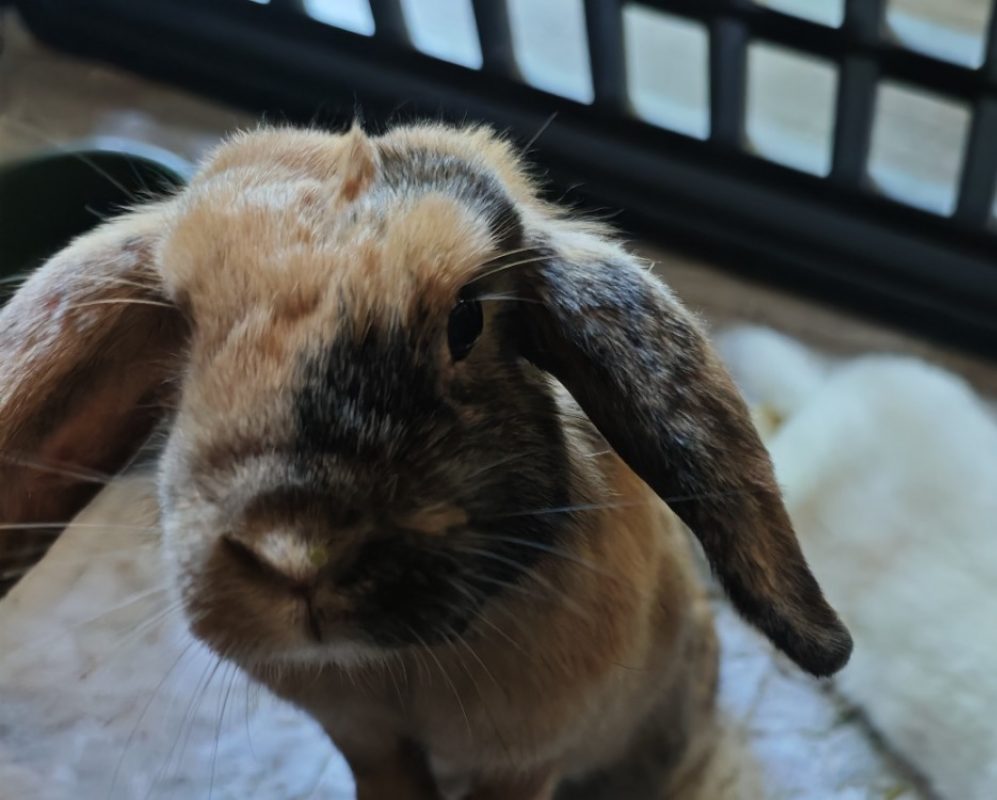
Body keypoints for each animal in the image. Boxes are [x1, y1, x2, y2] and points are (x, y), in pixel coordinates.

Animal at [0, 123, 851, 799]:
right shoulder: (364, 738)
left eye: (466, 319)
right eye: (182, 328)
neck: (398, 665)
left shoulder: (522, 759)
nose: (295, 548)